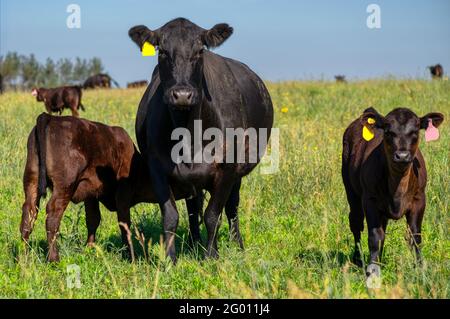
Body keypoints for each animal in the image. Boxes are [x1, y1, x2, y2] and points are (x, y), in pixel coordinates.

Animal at [20, 113, 203, 262]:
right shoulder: (122, 193)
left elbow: (93, 220)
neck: (138, 166)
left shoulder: (90, 194)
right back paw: (54, 259)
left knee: (28, 214)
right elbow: (124, 223)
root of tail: (51, 118)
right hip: (64, 186)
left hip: (32, 182)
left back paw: (24, 257)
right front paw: (131, 255)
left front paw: (90, 248)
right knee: (52, 216)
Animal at [128, 18, 272, 262]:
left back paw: (237, 245)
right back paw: (194, 243)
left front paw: (211, 256)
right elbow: (171, 216)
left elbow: (213, 215)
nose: (182, 95)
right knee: (192, 207)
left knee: (231, 207)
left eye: (200, 51)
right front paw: (170, 259)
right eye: (162, 51)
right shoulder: (156, 167)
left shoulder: (227, 170)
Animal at [342, 107, 444, 272]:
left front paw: (420, 267)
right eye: (388, 131)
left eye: (415, 131)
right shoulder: (370, 200)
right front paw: (373, 269)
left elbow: (415, 235)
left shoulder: (419, 199)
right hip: (351, 191)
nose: (402, 155)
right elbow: (375, 236)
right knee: (356, 222)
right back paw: (358, 259)